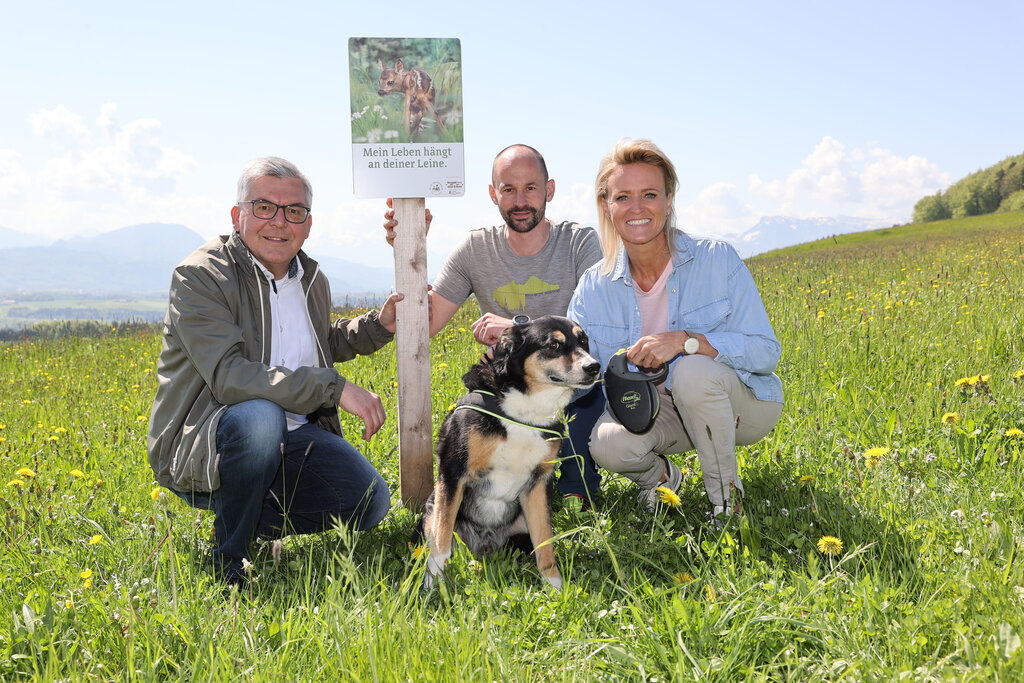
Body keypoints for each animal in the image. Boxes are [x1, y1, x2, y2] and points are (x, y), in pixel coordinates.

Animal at [417, 315, 598, 589]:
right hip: (430, 512)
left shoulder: (538, 484)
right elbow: (441, 540)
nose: (594, 367)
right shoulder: (453, 473)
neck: (525, 411)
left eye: (584, 341)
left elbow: (545, 542)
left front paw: (554, 587)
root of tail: (483, 545)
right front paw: (434, 583)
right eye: (554, 345)